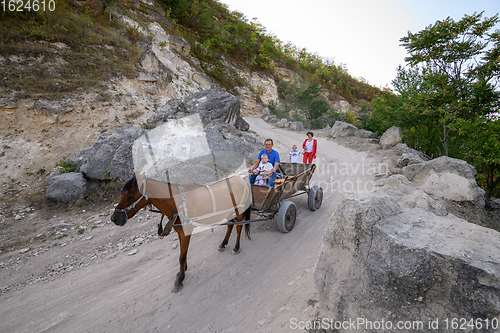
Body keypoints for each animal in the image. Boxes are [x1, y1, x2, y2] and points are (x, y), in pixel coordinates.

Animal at [109, 174, 250, 290]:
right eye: (122, 194)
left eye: (130, 196)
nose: (114, 218)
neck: (177, 203)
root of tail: (241, 180)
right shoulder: (180, 232)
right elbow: (182, 254)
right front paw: (183, 270)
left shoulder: (186, 232)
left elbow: (182, 257)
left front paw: (180, 278)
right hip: (229, 211)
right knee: (230, 226)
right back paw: (223, 243)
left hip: (239, 210)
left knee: (238, 227)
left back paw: (236, 247)